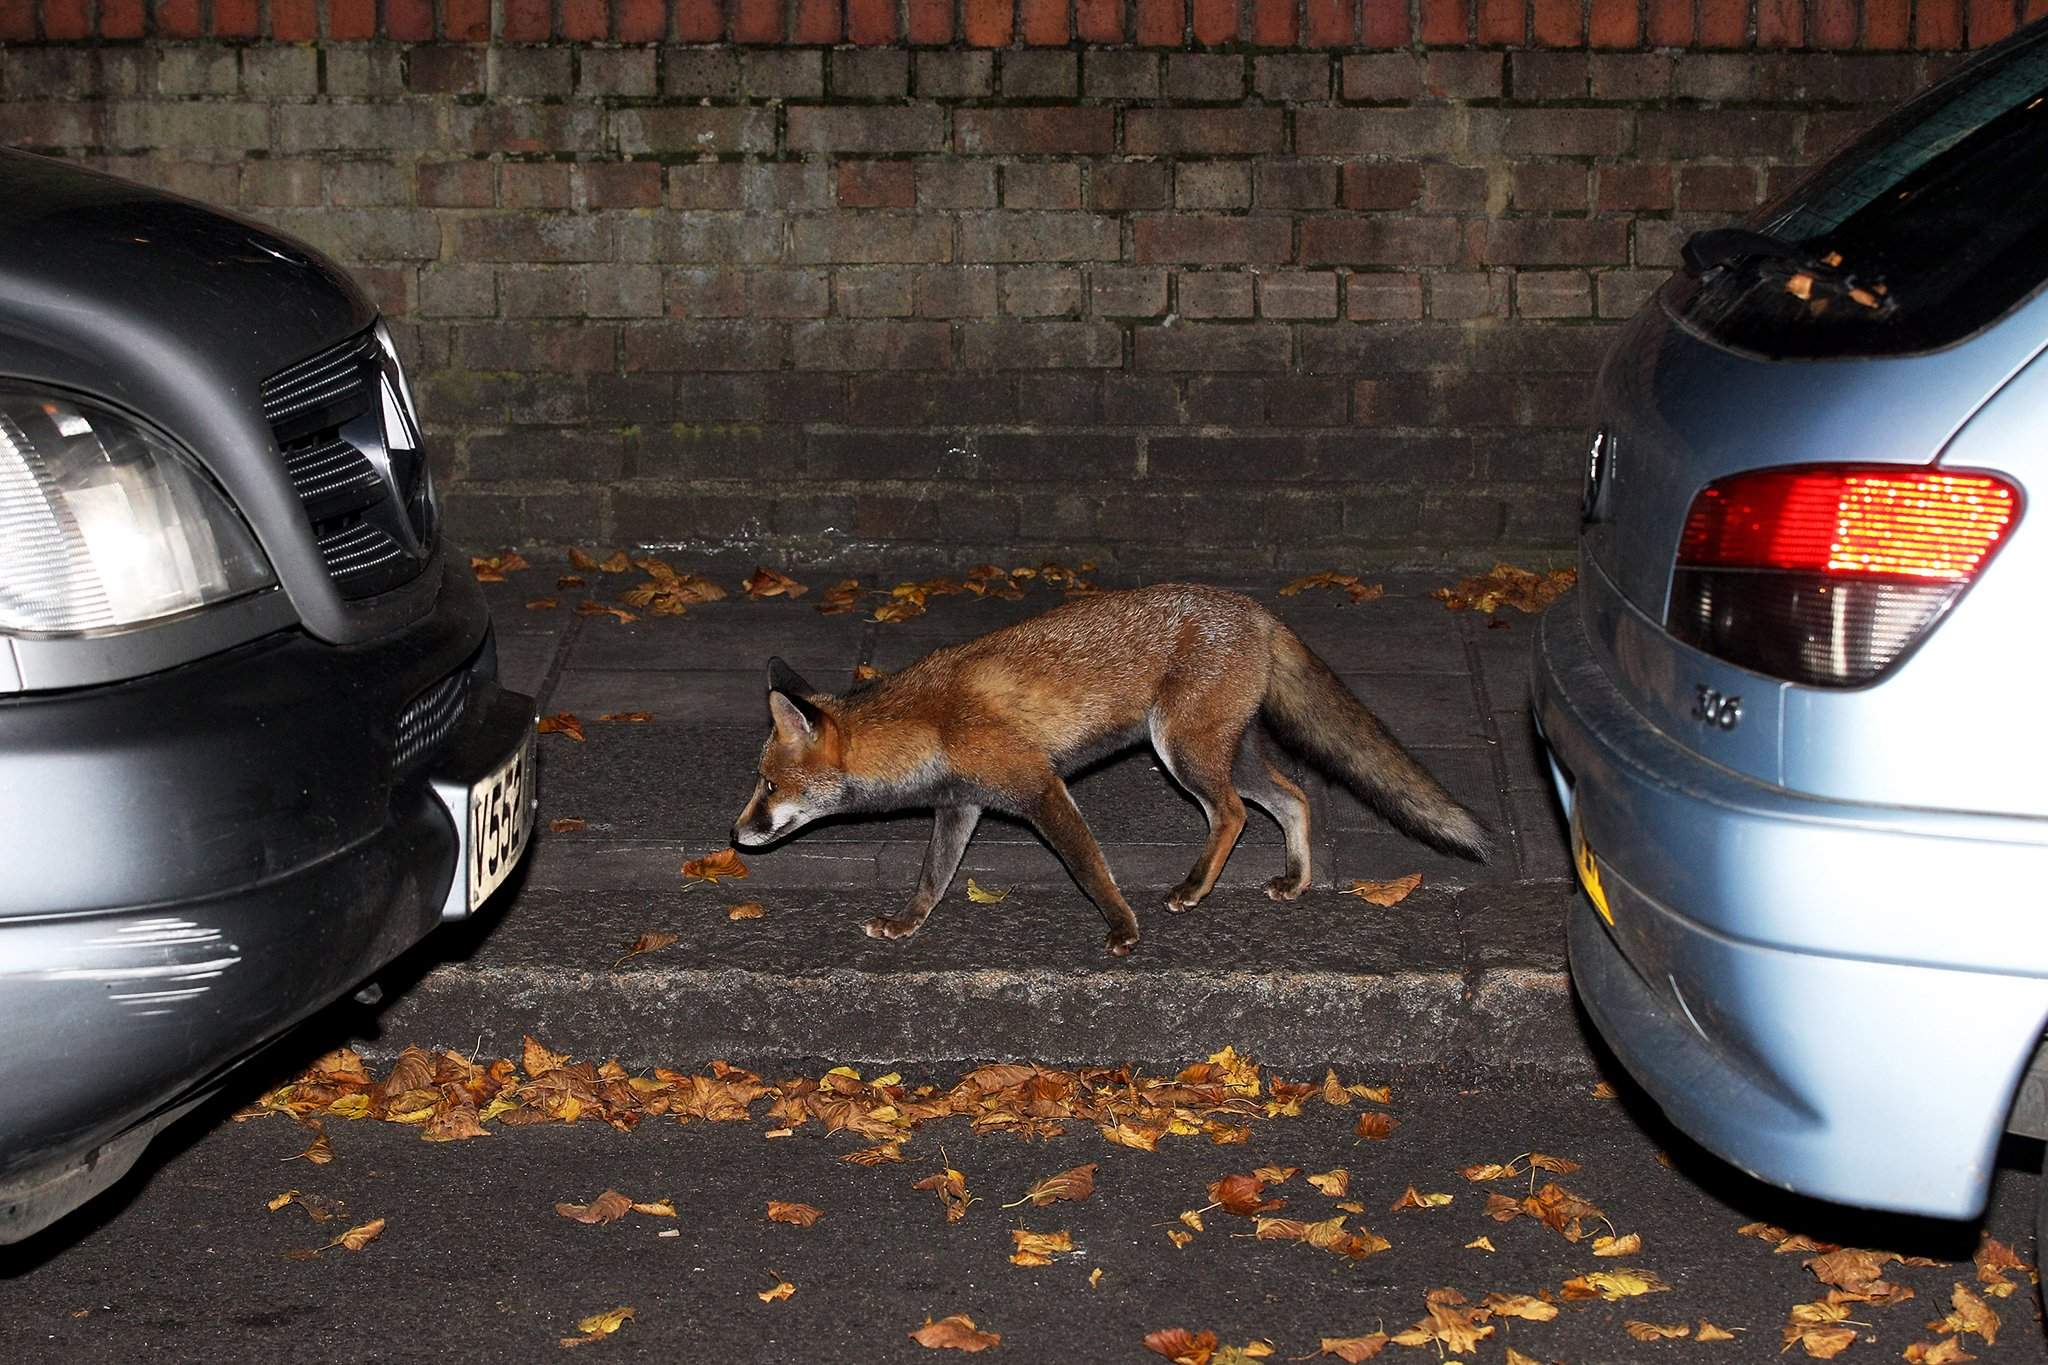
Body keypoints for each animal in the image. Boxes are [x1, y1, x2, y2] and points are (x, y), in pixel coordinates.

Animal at [737, 581, 1490, 957]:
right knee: (1294, 796)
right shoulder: (962, 805)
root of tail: (1254, 608)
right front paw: (906, 924)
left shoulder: (1040, 787)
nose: (736, 833)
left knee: (1234, 813)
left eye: (769, 786)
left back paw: (1194, 888)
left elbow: (1089, 869)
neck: (929, 723)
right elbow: (932, 877)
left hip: (1182, 752)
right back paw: (1296, 880)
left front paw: (1124, 930)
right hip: (1227, 753)